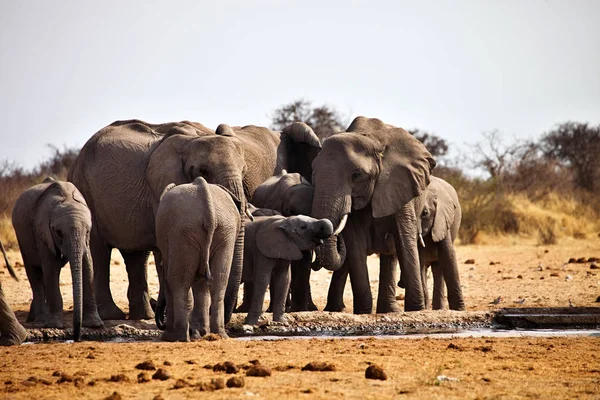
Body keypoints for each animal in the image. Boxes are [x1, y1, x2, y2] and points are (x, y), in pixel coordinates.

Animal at [11, 178, 103, 340]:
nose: (76, 338)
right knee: (35, 273)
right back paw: (39, 319)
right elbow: (50, 266)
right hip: (21, 237)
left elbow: (87, 263)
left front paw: (94, 325)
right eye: (59, 232)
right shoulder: (42, 231)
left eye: (87, 231)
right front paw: (55, 325)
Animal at [156, 177, 243, 340]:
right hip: (224, 231)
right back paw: (219, 335)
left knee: (179, 282)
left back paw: (179, 337)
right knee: (219, 283)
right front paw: (199, 334)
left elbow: (170, 278)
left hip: (183, 233)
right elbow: (202, 283)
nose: (161, 323)